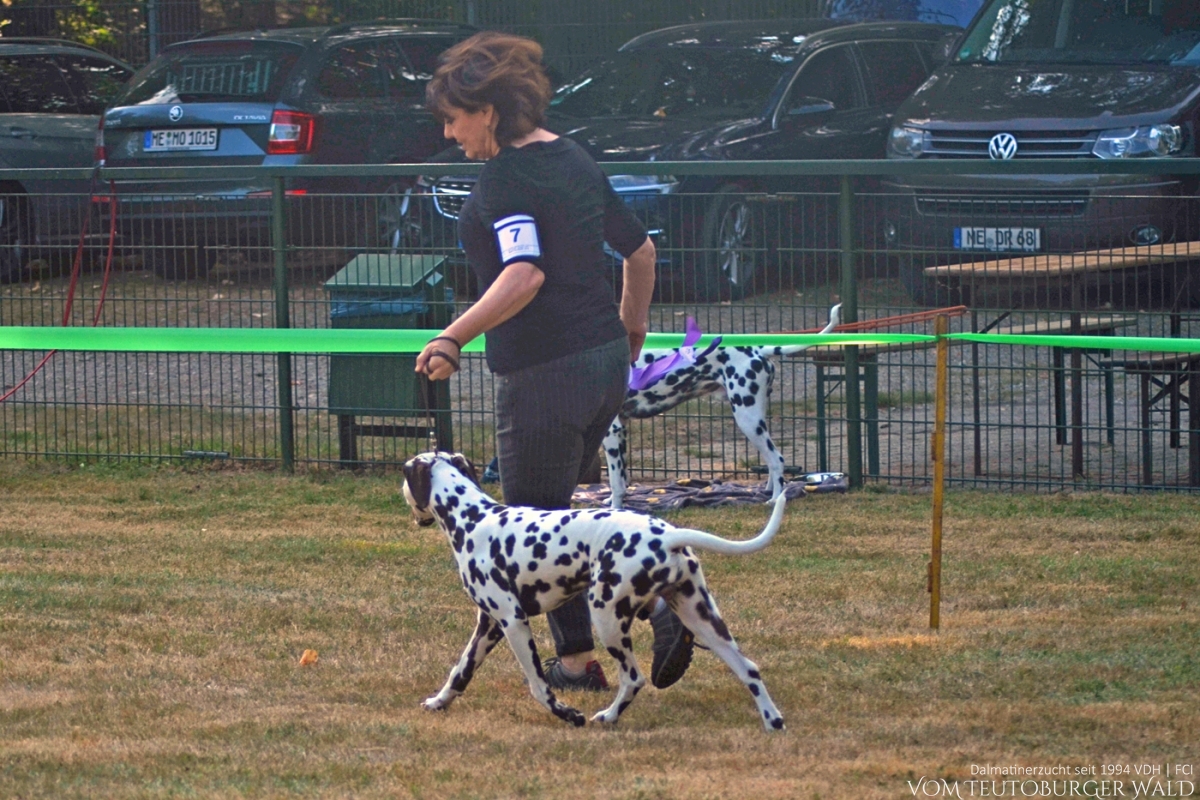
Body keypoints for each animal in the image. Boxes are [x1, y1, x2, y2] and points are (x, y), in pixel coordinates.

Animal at [403, 450, 787, 734]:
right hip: (702, 620)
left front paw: (568, 714)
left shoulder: (513, 622)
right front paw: (438, 702)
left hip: (606, 618)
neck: (473, 519)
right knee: (749, 669)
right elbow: (460, 671)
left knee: (633, 678)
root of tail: (668, 535)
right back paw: (773, 721)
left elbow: (538, 687)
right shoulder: (489, 626)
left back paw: (609, 716)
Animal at [604, 303, 840, 510]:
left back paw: (775, 499)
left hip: (748, 420)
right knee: (771, 460)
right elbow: (623, 477)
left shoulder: (612, 432)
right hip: (755, 420)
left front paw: (615, 510)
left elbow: (616, 482)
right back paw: (767, 491)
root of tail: (758, 350)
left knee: (777, 459)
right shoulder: (621, 431)